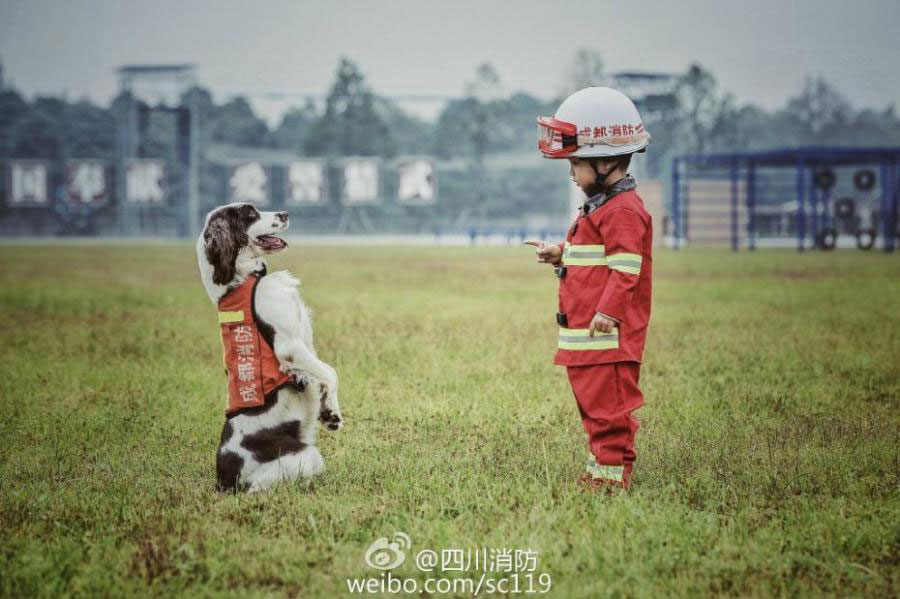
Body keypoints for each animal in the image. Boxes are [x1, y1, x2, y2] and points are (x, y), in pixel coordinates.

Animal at [196, 202, 342, 492]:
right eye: (250, 212)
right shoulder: (290, 347)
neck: (244, 278)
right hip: (305, 456)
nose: (285, 214)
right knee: (259, 489)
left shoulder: (305, 344)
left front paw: (326, 408)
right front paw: (332, 415)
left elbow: (324, 371)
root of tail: (224, 479)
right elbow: (331, 373)